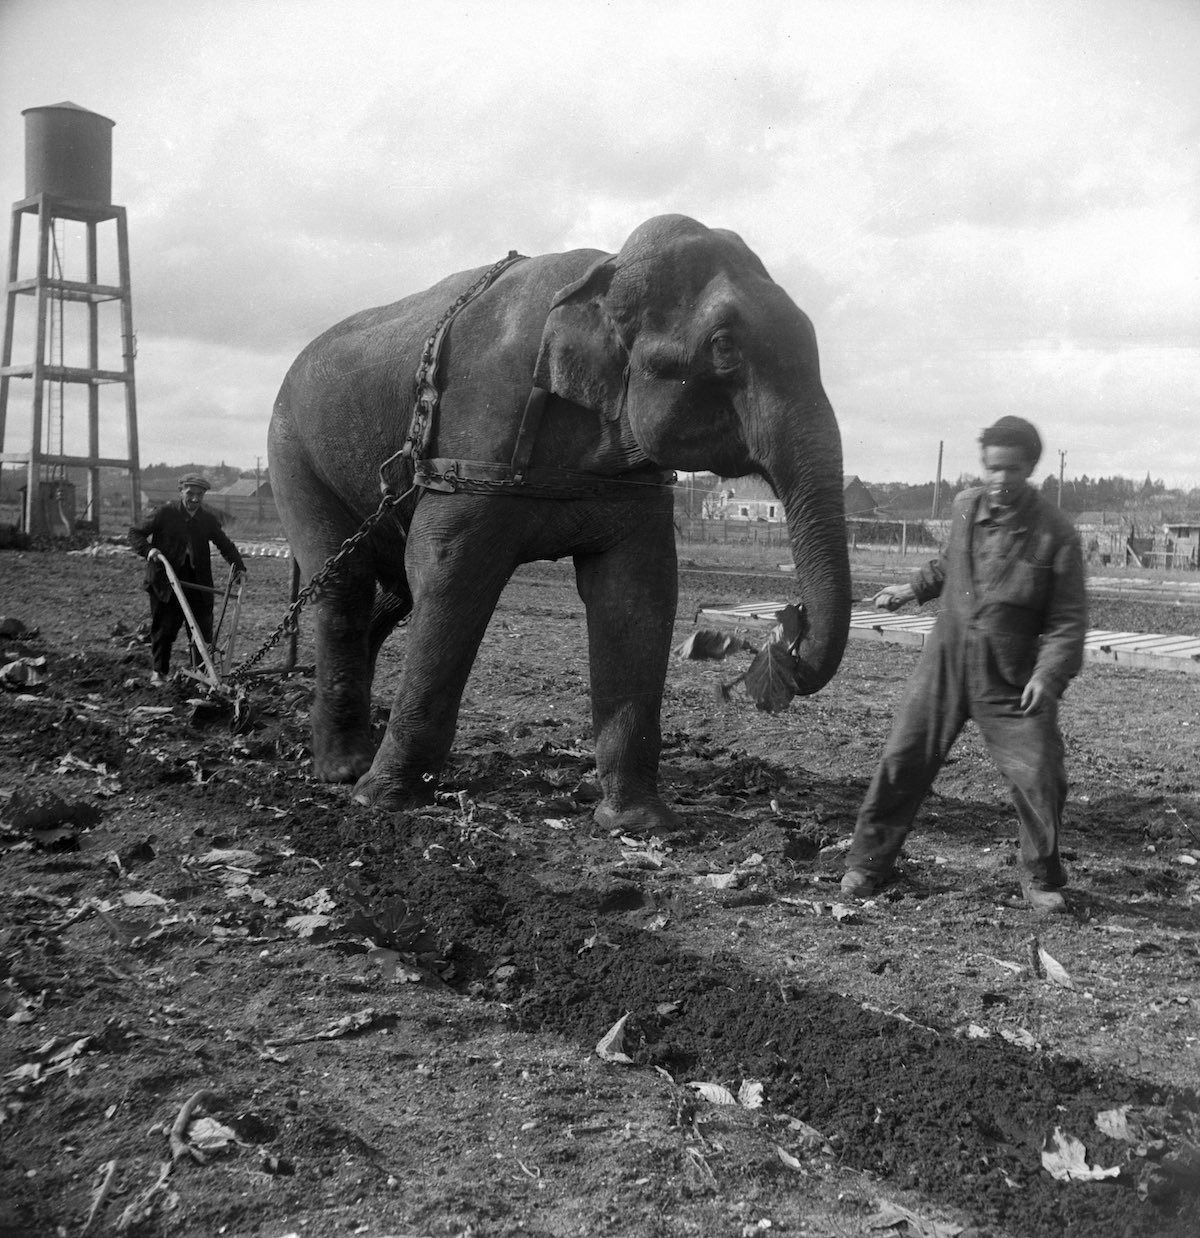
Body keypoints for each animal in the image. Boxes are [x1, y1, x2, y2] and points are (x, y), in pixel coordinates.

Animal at [271, 215, 852, 831]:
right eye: (723, 345)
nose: (789, 637)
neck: (604, 270)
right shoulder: (473, 446)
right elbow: (450, 574)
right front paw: (382, 802)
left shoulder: (640, 484)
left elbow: (637, 592)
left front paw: (637, 823)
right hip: (293, 454)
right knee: (346, 584)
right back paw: (344, 770)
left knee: (390, 595)